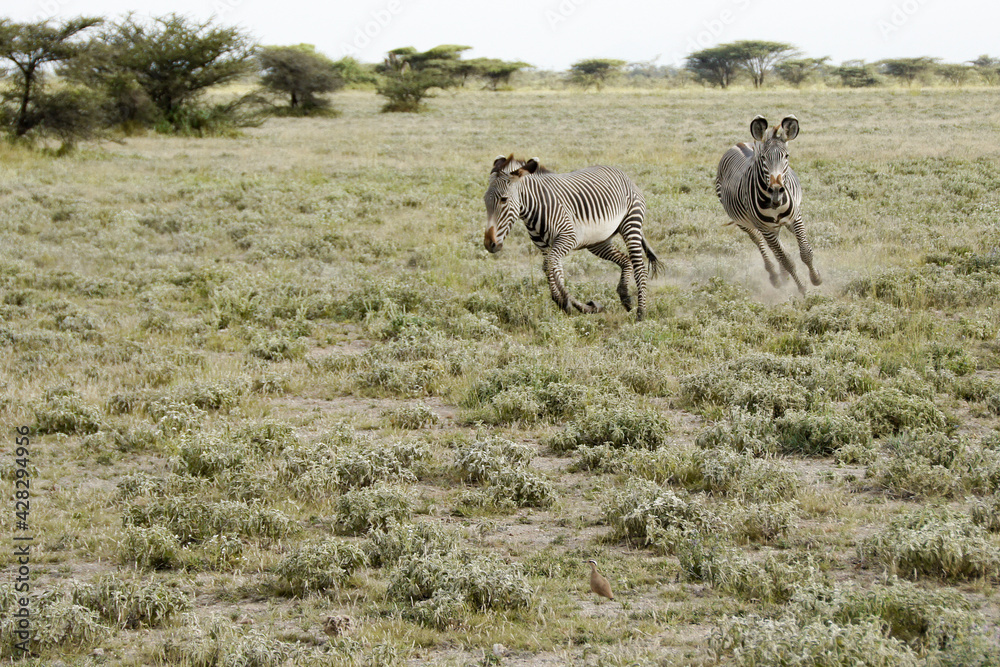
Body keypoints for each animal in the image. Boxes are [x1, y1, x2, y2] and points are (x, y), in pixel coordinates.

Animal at [483, 154, 662, 321]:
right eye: (485, 200)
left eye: (504, 200)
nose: (489, 244)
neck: (536, 208)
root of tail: (622, 173)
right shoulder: (545, 247)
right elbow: (553, 269)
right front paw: (564, 303)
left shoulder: (567, 238)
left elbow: (549, 266)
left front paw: (585, 306)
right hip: (598, 240)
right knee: (625, 259)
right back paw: (625, 297)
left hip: (631, 223)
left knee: (639, 267)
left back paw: (641, 313)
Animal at [716, 115, 822, 295]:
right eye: (763, 158)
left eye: (786, 156)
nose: (776, 190)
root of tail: (739, 144)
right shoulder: (765, 228)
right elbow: (786, 260)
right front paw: (802, 289)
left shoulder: (795, 218)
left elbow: (805, 252)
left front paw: (816, 278)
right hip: (744, 222)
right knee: (758, 240)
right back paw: (775, 276)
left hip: (779, 225)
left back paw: (783, 275)